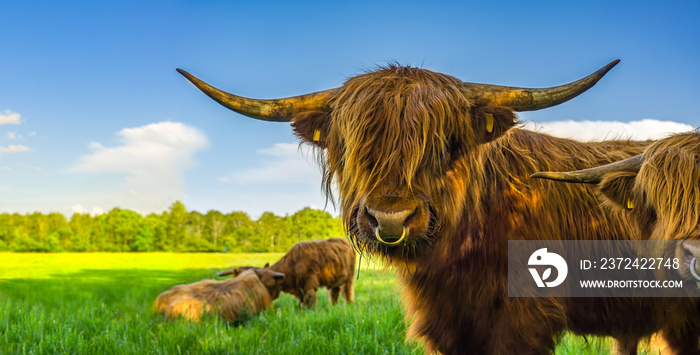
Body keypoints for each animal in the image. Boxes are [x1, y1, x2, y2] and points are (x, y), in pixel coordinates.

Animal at [219, 238, 356, 310]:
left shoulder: (310, 284)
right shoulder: (300, 288)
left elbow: (309, 300)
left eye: (266, 284)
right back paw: (334, 306)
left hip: (349, 277)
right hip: (336, 280)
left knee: (347, 291)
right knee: (334, 292)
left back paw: (349, 305)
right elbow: (302, 301)